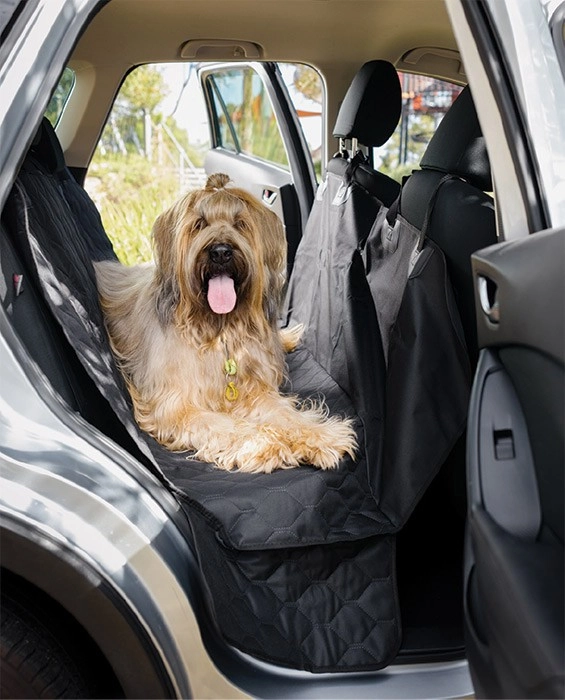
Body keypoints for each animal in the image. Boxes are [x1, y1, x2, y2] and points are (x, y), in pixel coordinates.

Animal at [94, 172, 354, 474]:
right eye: (199, 224)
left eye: (240, 224)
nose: (220, 252)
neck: (218, 330)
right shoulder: (175, 405)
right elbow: (222, 425)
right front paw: (264, 443)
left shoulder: (254, 389)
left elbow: (284, 414)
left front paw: (322, 436)